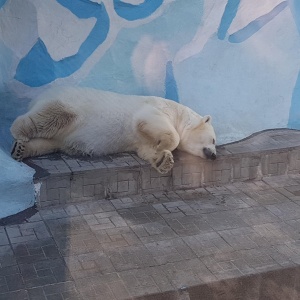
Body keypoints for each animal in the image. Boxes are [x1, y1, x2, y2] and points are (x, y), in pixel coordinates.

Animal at [10, 85, 217, 173]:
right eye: (214, 140)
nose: (214, 155)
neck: (178, 113)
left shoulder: (140, 140)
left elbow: (145, 149)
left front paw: (162, 160)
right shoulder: (155, 109)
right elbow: (153, 124)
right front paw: (164, 147)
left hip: (61, 136)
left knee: (48, 143)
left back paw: (21, 149)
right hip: (70, 104)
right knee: (51, 117)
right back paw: (19, 130)